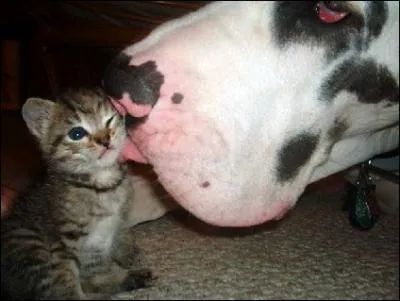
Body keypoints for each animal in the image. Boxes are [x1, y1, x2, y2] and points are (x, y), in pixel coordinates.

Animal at [0, 86, 153, 298]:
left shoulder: (104, 238)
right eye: (77, 133)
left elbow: (95, 275)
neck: (102, 184)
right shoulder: (61, 241)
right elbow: (66, 280)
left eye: (109, 120)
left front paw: (127, 253)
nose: (105, 140)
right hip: (30, 244)